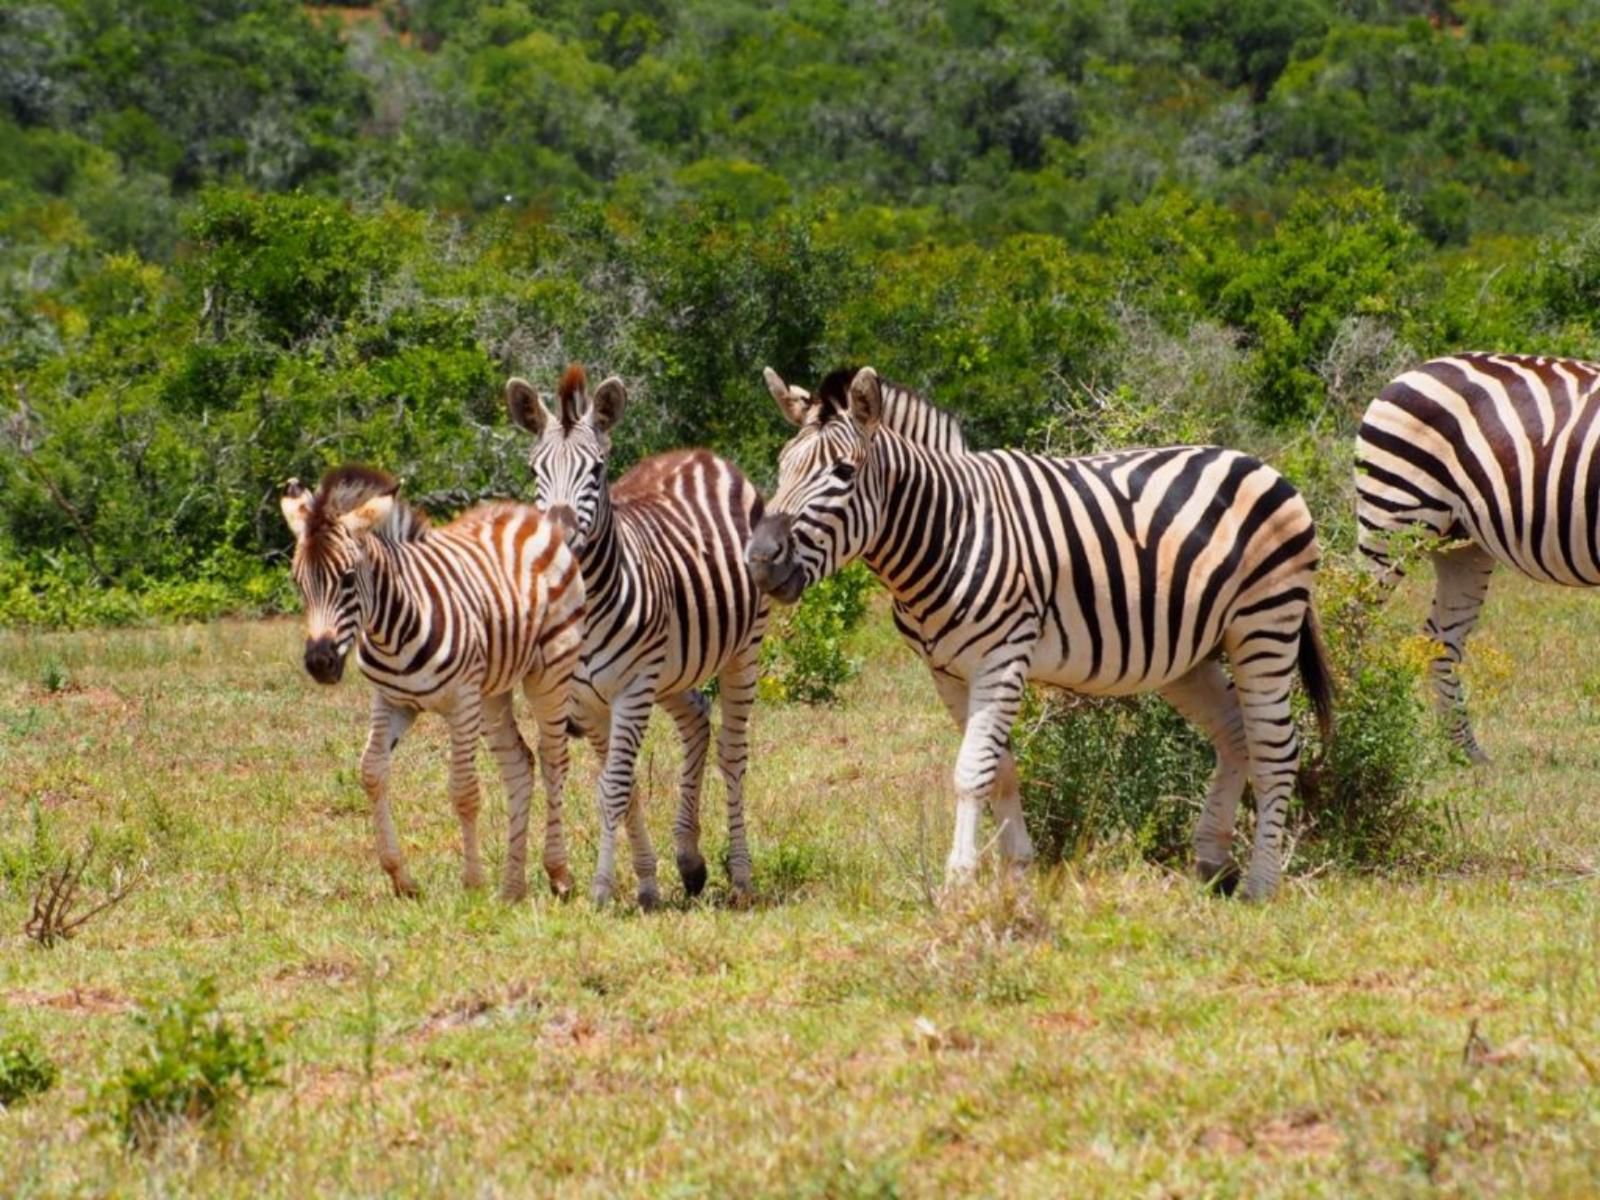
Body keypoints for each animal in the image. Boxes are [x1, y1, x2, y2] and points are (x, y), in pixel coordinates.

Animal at [278, 464, 585, 908]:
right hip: (492, 693)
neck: (393, 630)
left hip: (550, 672)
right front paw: (400, 878)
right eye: (298, 581)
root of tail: (523, 512)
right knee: (519, 764)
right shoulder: (391, 701)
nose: (320, 663)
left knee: (552, 759)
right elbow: (371, 772)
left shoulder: (461, 702)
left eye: (348, 579)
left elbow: (463, 790)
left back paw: (558, 874)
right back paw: (512, 887)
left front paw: (472, 882)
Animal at [502, 366, 771, 908]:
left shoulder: (630, 688)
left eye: (597, 470)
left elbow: (616, 788)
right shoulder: (585, 700)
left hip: (739, 652)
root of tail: (702, 455)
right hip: (671, 669)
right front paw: (647, 882)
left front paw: (602, 890)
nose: (560, 541)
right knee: (697, 718)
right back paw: (690, 860)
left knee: (733, 754)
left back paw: (740, 876)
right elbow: (619, 789)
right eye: (536, 471)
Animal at [748, 366, 1337, 902]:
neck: (948, 530)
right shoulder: (947, 673)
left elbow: (971, 771)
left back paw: (1260, 886)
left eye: (843, 472)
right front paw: (1016, 875)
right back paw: (1214, 864)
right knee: (1235, 736)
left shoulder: (1002, 659)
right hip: (1188, 656)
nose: (758, 559)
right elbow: (1001, 770)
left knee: (1276, 749)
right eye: (782, 466)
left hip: (1264, 624)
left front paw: (958, 884)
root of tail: (1257, 463)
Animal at [1356, 352, 1600, 761]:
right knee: (1351, 614)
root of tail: (1411, 371)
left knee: (1442, 637)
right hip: (1391, 518)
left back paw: (1463, 752)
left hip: (1462, 545)